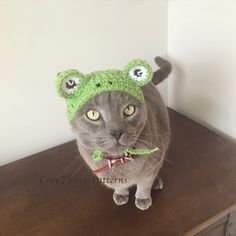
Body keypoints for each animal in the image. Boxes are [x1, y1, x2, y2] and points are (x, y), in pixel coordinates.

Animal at [62, 57, 171, 210]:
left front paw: (143, 199)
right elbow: (119, 186)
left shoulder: (152, 164)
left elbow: (144, 184)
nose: (117, 132)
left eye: (129, 109)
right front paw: (120, 194)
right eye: (93, 114)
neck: (119, 160)